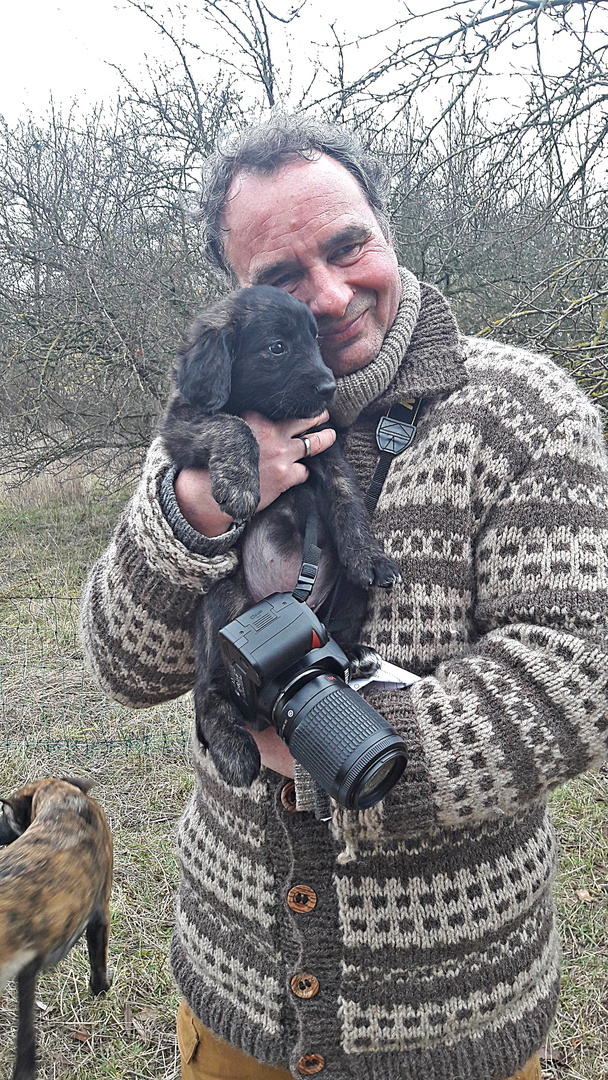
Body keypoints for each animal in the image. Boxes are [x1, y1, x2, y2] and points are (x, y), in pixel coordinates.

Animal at [159, 287, 401, 790]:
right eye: (277, 348)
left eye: (316, 340)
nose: (328, 389)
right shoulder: (183, 422)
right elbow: (232, 424)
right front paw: (239, 481)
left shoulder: (322, 441)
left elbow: (346, 497)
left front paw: (367, 553)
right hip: (222, 604)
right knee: (208, 689)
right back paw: (233, 748)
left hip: (345, 596)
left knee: (336, 628)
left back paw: (355, 655)